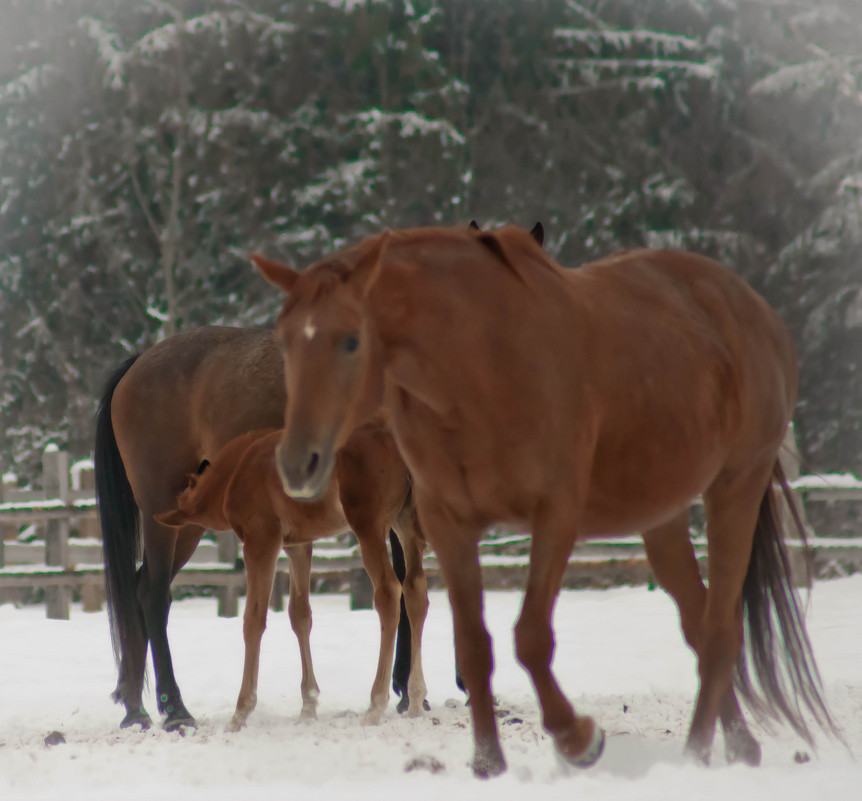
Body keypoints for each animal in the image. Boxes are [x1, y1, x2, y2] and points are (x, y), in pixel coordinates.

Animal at [157, 432, 430, 732]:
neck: (237, 470)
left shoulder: (260, 541)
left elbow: (253, 620)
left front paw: (240, 712)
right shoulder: (298, 546)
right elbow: (300, 615)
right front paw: (308, 705)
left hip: (368, 528)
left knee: (389, 592)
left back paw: (376, 705)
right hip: (404, 523)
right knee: (415, 591)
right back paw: (416, 701)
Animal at [253, 228, 840, 780]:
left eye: (351, 341)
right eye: (285, 341)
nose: (297, 462)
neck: (477, 366)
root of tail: (753, 308)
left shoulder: (555, 516)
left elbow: (530, 638)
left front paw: (580, 739)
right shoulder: (450, 525)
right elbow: (474, 644)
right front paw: (488, 763)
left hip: (734, 489)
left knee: (720, 630)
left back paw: (695, 755)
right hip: (663, 518)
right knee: (700, 625)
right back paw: (738, 746)